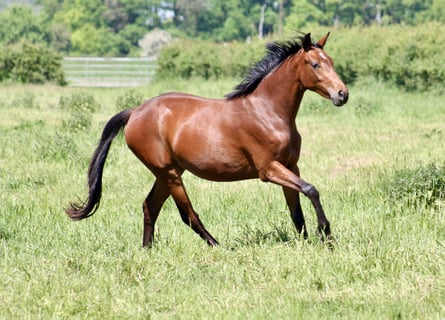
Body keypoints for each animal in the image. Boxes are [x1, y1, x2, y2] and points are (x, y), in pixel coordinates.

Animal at [67, 33, 350, 248]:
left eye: (332, 61)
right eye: (315, 65)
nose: (342, 94)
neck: (268, 112)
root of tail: (135, 112)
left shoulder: (291, 166)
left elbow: (296, 211)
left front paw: (307, 242)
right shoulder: (269, 170)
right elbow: (311, 189)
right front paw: (326, 236)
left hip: (168, 172)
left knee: (150, 206)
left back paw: (147, 249)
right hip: (170, 174)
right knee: (187, 213)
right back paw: (217, 246)